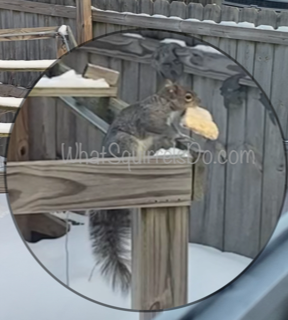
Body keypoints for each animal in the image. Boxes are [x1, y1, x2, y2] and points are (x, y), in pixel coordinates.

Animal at [89, 79, 201, 294]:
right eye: (188, 96)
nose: (199, 102)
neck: (167, 105)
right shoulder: (152, 117)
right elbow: (161, 127)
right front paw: (181, 136)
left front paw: (183, 137)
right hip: (126, 143)